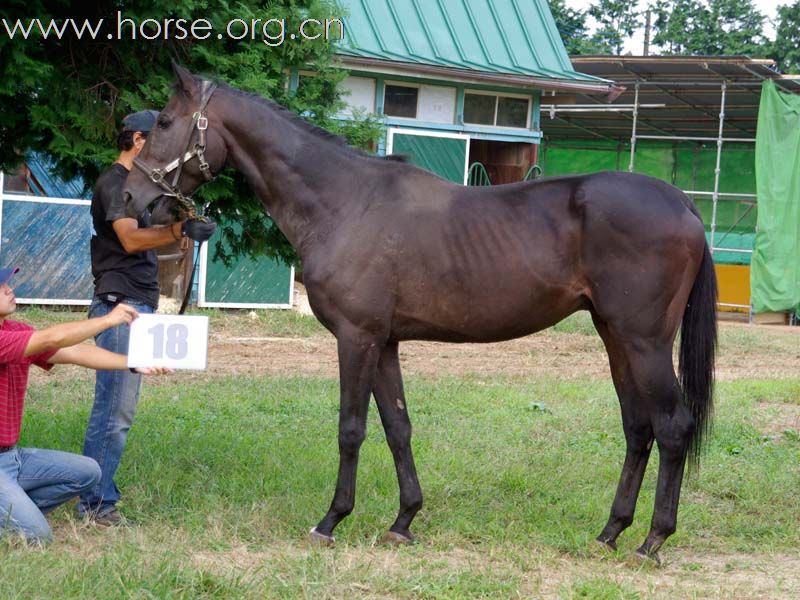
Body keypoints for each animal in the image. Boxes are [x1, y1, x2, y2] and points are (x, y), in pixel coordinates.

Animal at [123, 65, 720, 564]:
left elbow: (351, 428)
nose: (131, 198)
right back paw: (610, 532)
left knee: (672, 426)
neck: (345, 203)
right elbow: (398, 427)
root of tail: (682, 203)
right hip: (615, 338)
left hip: (643, 342)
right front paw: (404, 520)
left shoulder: (356, 337)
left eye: (166, 122)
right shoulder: (385, 341)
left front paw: (331, 521)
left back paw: (651, 541)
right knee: (638, 428)